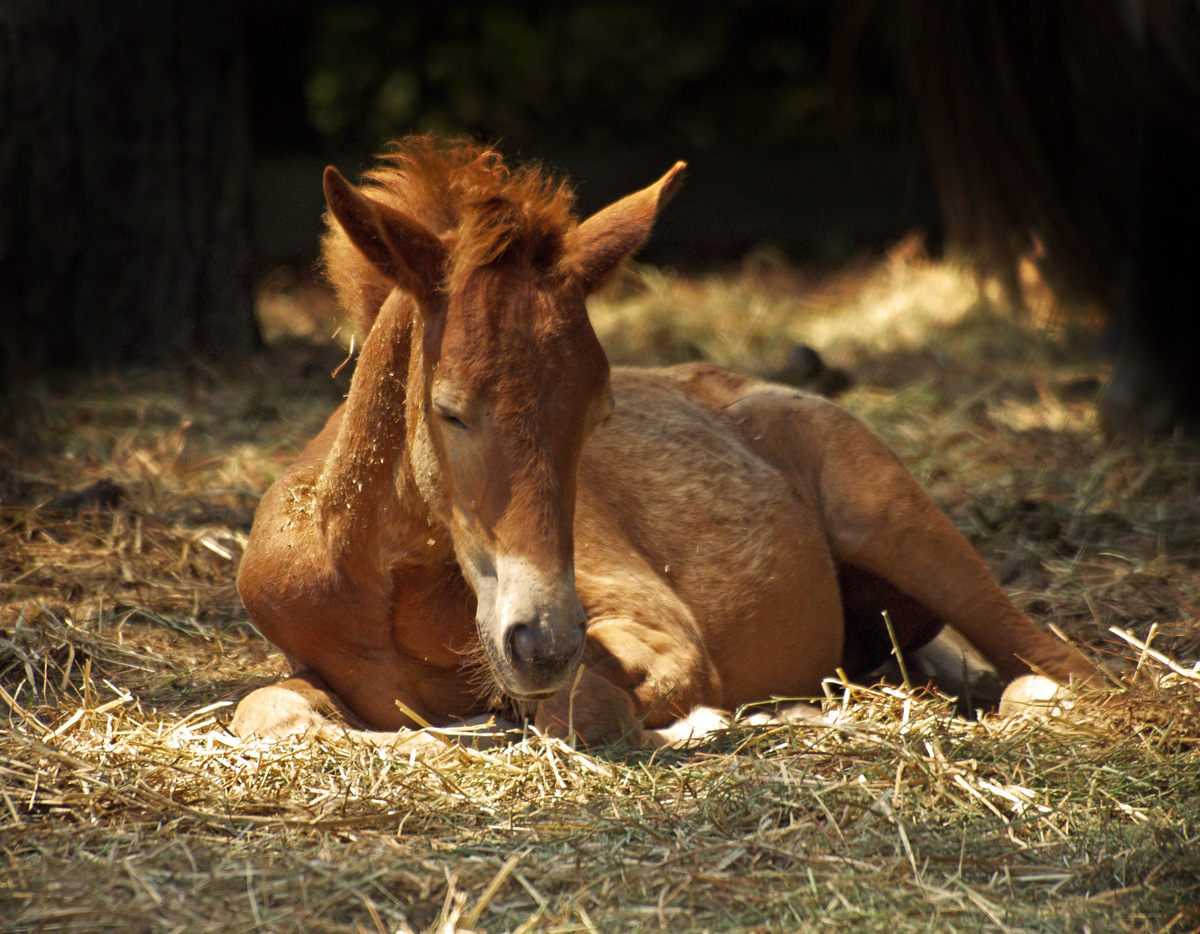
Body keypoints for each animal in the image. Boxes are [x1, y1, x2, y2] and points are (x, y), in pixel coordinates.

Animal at [229, 138, 1099, 744]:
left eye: (598, 412)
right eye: (450, 410)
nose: (542, 642)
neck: (385, 588)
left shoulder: (659, 631)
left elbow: (582, 711)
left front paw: (698, 721)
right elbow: (267, 712)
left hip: (901, 525)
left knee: (1064, 665)